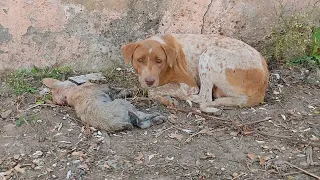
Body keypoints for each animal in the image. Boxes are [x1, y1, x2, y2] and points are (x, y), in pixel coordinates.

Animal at [120, 33, 268, 112]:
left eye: (159, 60)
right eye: (140, 60)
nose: (149, 81)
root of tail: (263, 86)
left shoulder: (189, 85)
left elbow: (154, 91)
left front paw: (166, 98)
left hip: (209, 54)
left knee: (205, 97)